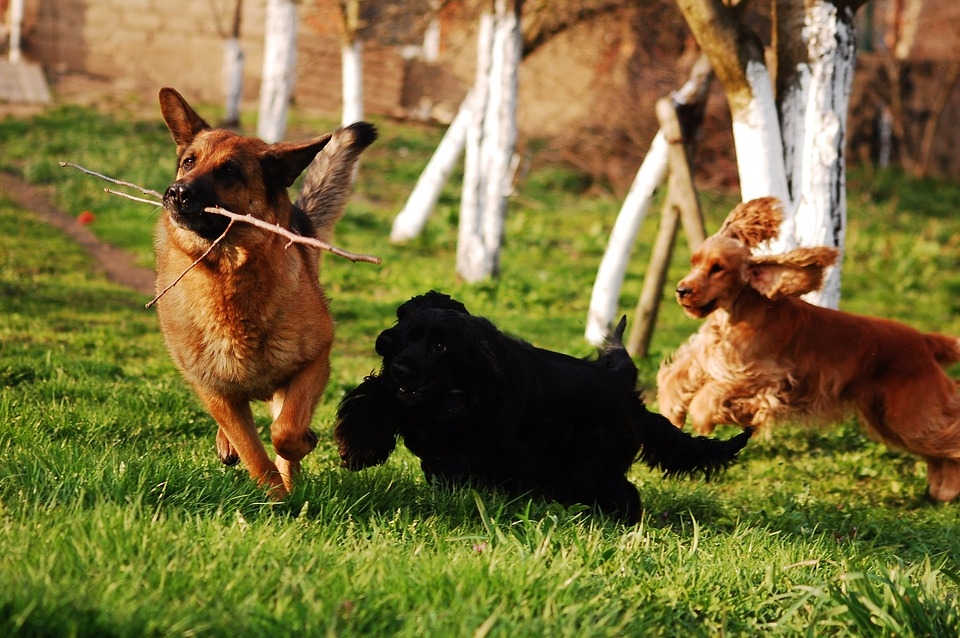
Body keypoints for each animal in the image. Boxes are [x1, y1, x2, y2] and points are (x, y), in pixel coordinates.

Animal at [154, 87, 376, 498]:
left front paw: (297, 463)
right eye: (189, 162)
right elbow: (252, 451)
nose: (176, 192)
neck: (227, 276)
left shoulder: (313, 363)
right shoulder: (213, 390)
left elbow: (284, 433)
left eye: (229, 171)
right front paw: (274, 497)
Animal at [334, 292, 752, 524]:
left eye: (441, 347)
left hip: (592, 469)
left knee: (624, 493)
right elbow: (380, 401)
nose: (401, 366)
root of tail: (623, 387)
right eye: (408, 335)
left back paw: (623, 522)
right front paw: (359, 444)